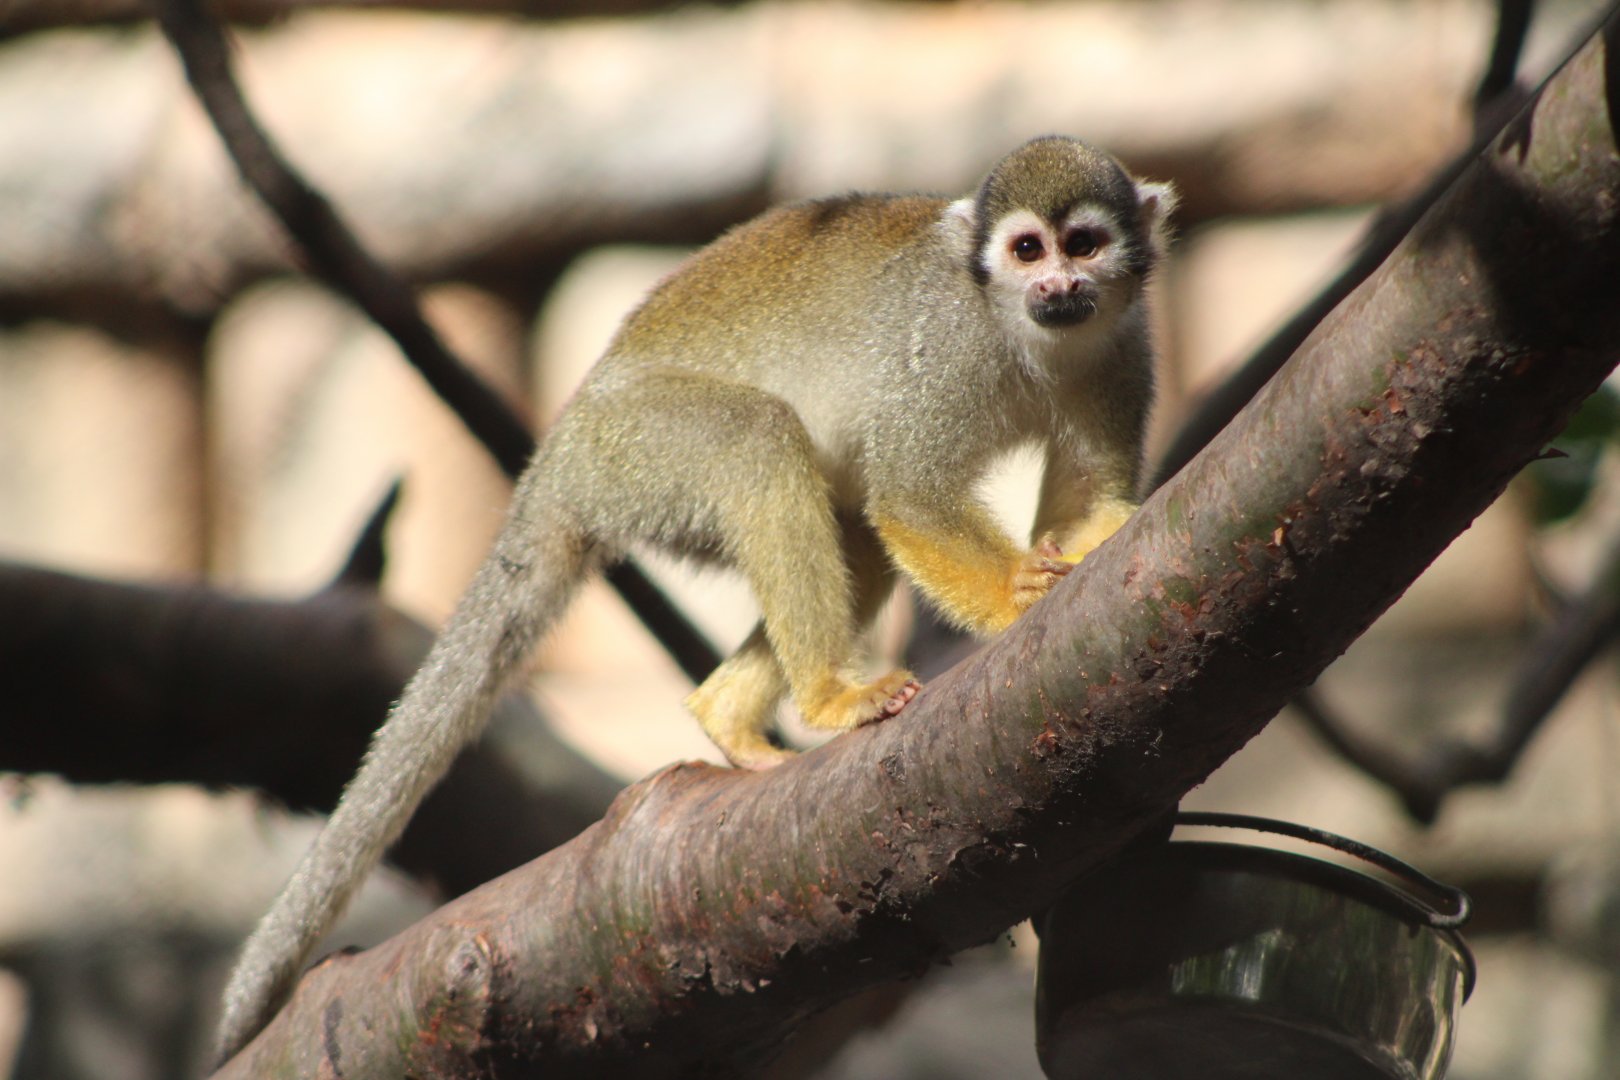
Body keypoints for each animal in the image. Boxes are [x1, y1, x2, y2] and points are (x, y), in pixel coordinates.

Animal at [213, 135, 1175, 1061]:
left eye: (1084, 244)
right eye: (1027, 250)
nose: (1059, 285)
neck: (1027, 337)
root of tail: (558, 460)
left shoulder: (1127, 347)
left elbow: (1082, 498)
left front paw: (1092, 543)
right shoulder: (946, 351)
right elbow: (911, 492)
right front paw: (1018, 598)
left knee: (850, 526)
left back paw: (731, 720)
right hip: (640, 450)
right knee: (762, 441)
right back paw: (827, 694)